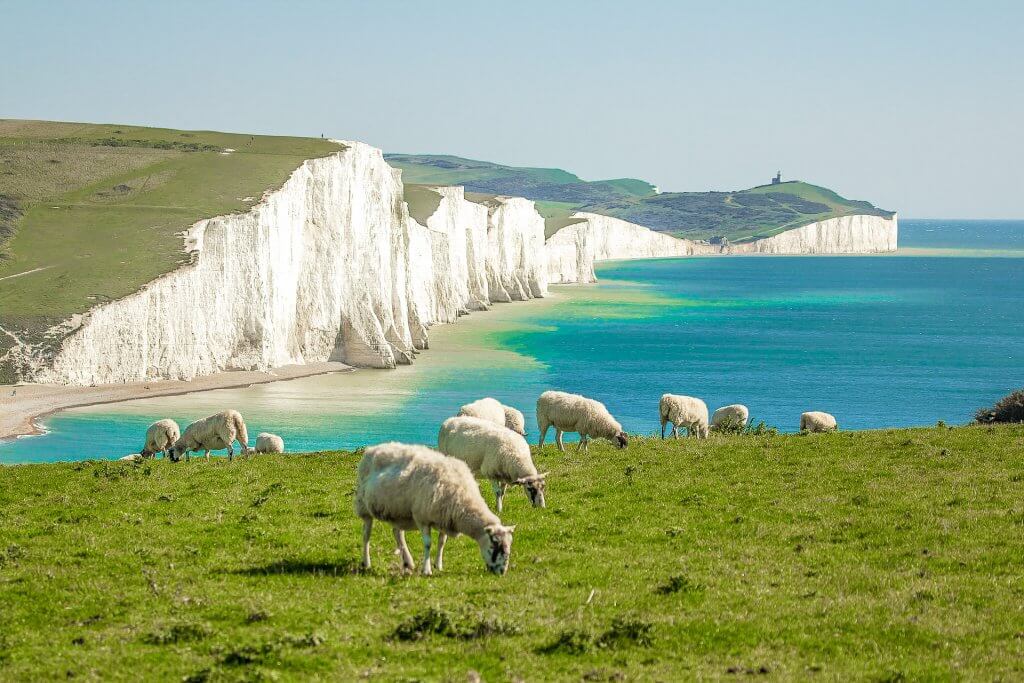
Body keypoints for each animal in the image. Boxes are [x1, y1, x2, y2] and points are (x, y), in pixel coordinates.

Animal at [356, 444, 516, 577]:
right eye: (495, 544)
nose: (502, 572)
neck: (463, 498)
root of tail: (373, 448)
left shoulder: (445, 518)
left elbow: (441, 542)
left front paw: (438, 565)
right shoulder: (422, 518)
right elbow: (428, 544)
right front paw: (426, 570)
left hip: (399, 512)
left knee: (397, 533)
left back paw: (408, 562)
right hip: (363, 506)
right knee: (366, 535)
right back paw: (366, 562)